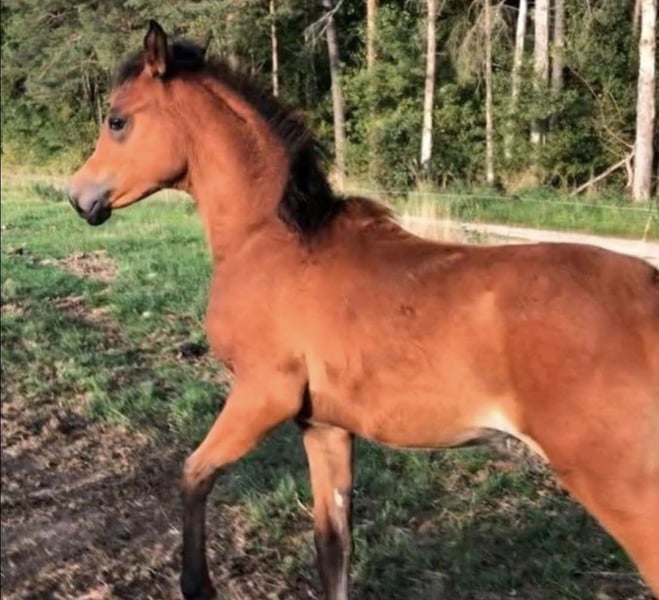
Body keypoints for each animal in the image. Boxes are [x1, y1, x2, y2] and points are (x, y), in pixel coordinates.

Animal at [68, 20, 659, 600]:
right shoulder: (323, 426)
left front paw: (197, 585)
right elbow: (333, 544)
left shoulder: (263, 395)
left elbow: (193, 475)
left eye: (117, 121)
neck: (271, 240)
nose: (78, 196)